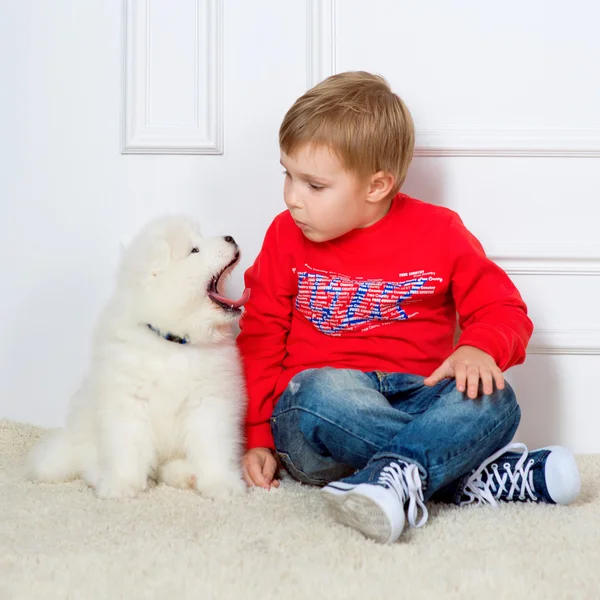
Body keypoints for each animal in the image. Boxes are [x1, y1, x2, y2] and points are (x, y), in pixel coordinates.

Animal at [27, 218, 248, 500]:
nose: (230, 237)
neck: (173, 343)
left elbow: (213, 447)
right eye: (194, 250)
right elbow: (127, 446)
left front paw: (222, 484)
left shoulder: (208, 401)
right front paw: (121, 485)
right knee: (90, 462)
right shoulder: (129, 401)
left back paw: (185, 474)